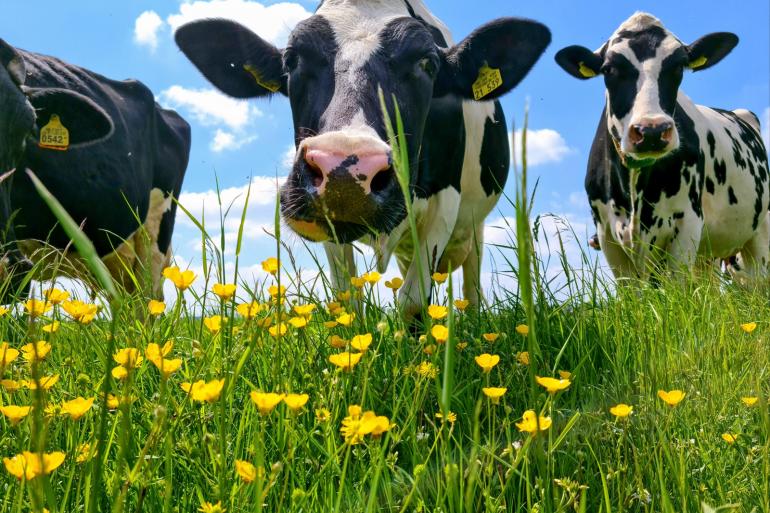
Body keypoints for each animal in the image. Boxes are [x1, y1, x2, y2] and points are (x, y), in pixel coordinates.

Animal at [177, 0, 548, 314]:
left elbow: (414, 302)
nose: (344, 172)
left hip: (475, 226)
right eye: (292, 60)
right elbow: (347, 301)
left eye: (427, 63)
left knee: (471, 287)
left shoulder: (446, 200)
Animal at [556, 12, 764, 282]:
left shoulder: (687, 225)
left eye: (679, 66)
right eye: (609, 69)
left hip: (760, 233)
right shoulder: (607, 234)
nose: (651, 130)